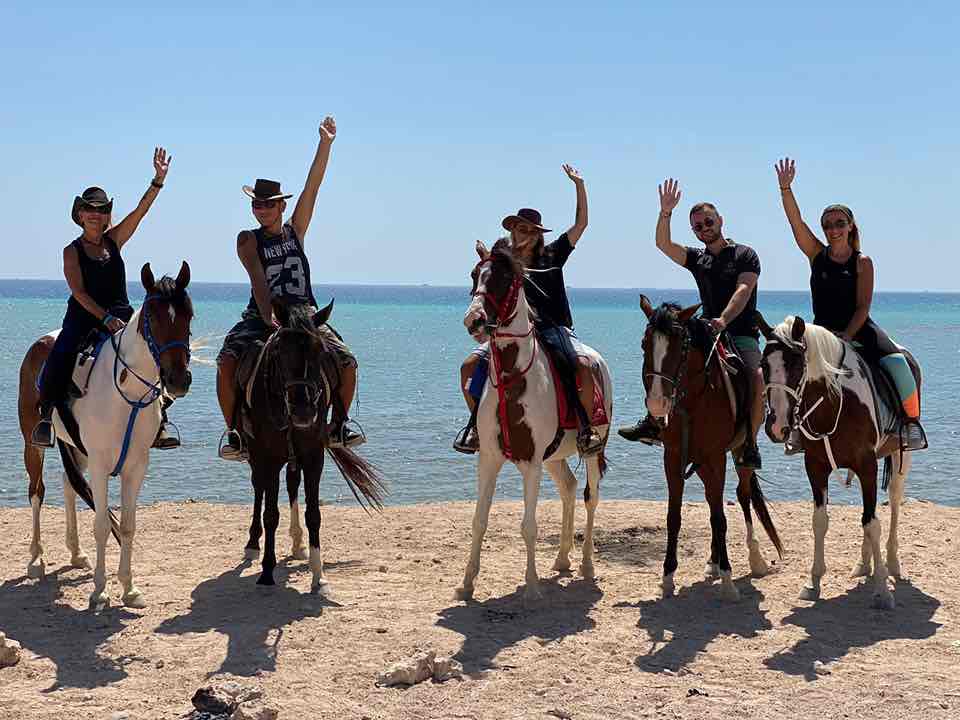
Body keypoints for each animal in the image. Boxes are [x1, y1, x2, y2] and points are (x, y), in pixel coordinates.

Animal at [17, 262, 193, 612]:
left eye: (189, 316)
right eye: (153, 318)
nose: (178, 380)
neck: (126, 392)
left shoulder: (136, 466)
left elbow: (126, 525)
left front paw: (129, 588)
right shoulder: (100, 465)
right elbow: (101, 525)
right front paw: (99, 591)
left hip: (75, 448)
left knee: (68, 485)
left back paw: (76, 554)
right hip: (34, 444)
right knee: (37, 492)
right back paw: (36, 559)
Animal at [240, 300, 386, 588]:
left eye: (321, 351)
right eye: (279, 350)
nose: (303, 411)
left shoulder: (312, 455)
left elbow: (314, 514)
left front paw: (318, 574)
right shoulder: (269, 457)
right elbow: (270, 513)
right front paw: (267, 570)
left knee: (291, 484)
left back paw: (297, 544)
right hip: (255, 452)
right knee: (258, 487)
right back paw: (253, 545)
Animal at [454, 242, 612, 600]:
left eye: (503, 278)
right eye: (474, 274)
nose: (474, 320)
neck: (513, 380)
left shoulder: (531, 464)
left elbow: (529, 526)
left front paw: (531, 586)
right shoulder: (489, 459)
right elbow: (479, 521)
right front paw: (466, 583)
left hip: (593, 448)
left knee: (591, 497)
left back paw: (586, 565)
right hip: (554, 458)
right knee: (569, 487)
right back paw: (563, 558)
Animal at [636, 296, 780, 600]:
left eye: (679, 346)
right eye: (645, 343)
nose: (657, 404)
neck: (693, 402)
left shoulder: (716, 458)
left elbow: (719, 518)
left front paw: (727, 579)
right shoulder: (673, 458)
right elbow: (674, 516)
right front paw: (667, 576)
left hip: (737, 456)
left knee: (742, 495)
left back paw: (755, 559)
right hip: (700, 463)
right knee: (713, 499)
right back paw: (712, 562)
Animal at [756, 314, 916, 608]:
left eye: (797, 364)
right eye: (764, 365)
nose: (777, 426)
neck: (834, 405)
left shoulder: (866, 465)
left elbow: (873, 523)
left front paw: (882, 590)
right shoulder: (816, 466)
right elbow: (821, 521)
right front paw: (813, 582)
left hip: (901, 456)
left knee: (894, 502)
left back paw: (892, 563)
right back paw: (864, 563)